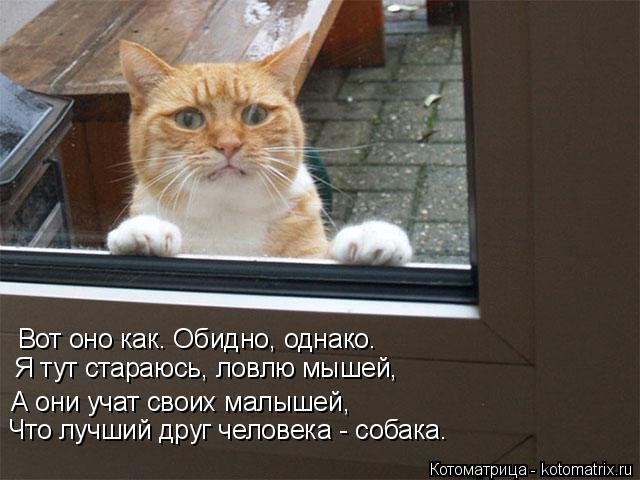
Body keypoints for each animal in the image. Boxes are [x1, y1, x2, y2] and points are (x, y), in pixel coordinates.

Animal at [107, 36, 412, 266]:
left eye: (255, 115)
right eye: (188, 119)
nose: (229, 144)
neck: (227, 216)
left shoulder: (308, 254)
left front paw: (371, 235)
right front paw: (143, 231)